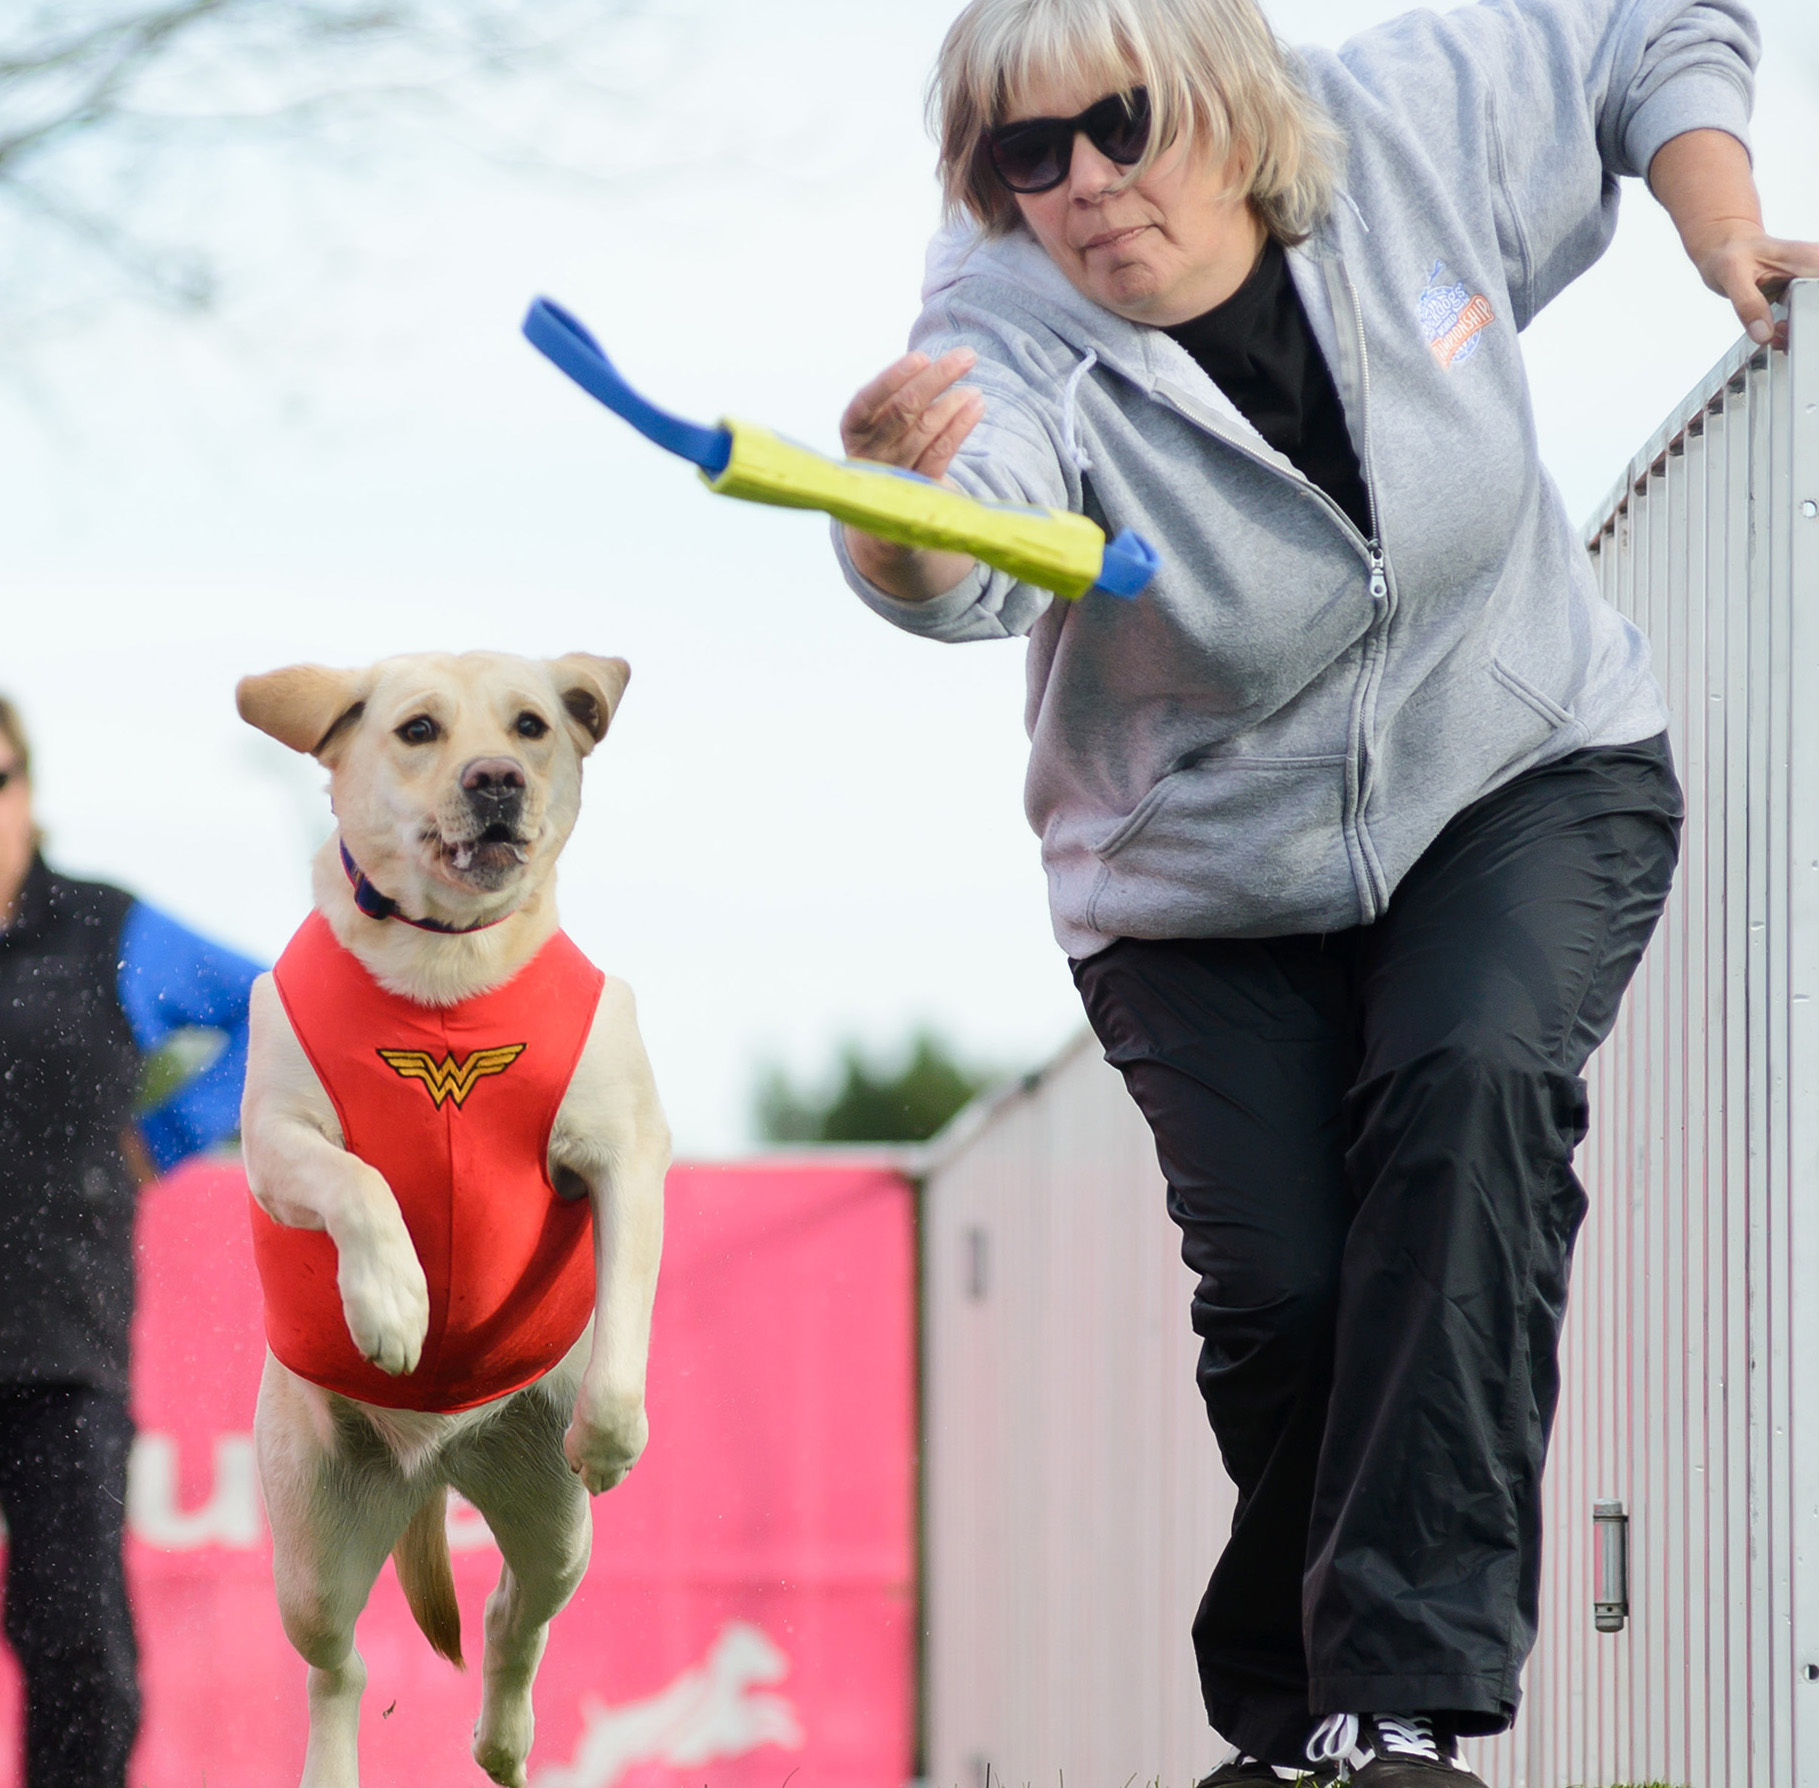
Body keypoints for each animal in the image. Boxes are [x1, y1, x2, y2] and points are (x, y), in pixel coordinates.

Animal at [236, 654, 669, 1788]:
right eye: (418, 730)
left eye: (531, 727)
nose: (496, 779)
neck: (445, 967)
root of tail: (436, 1465)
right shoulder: (277, 1141)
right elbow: (359, 1182)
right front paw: (390, 1302)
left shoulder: (624, 1150)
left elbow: (622, 1320)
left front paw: (613, 1435)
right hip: (311, 1546)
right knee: (337, 1670)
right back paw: (333, 1766)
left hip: (551, 1519)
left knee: (517, 1617)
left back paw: (505, 1739)